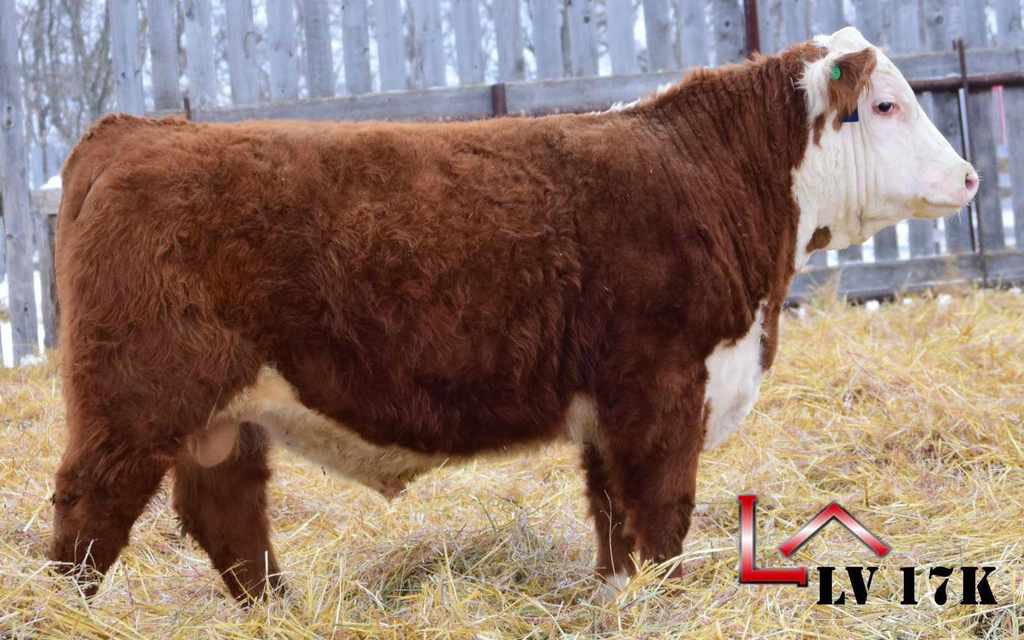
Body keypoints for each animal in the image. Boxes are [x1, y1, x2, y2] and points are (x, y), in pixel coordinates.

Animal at [50, 27, 977, 603]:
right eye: (887, 105)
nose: (969, 177)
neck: (713, 175)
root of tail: (134, 132)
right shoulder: (661, 387)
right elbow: (662, 512)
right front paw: (667, 598)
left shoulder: (612, 408)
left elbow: (614, 522)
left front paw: (622, 600)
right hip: (133, 397)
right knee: (88, 513)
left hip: (221, 415)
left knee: (229, 519)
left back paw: (283, 610)